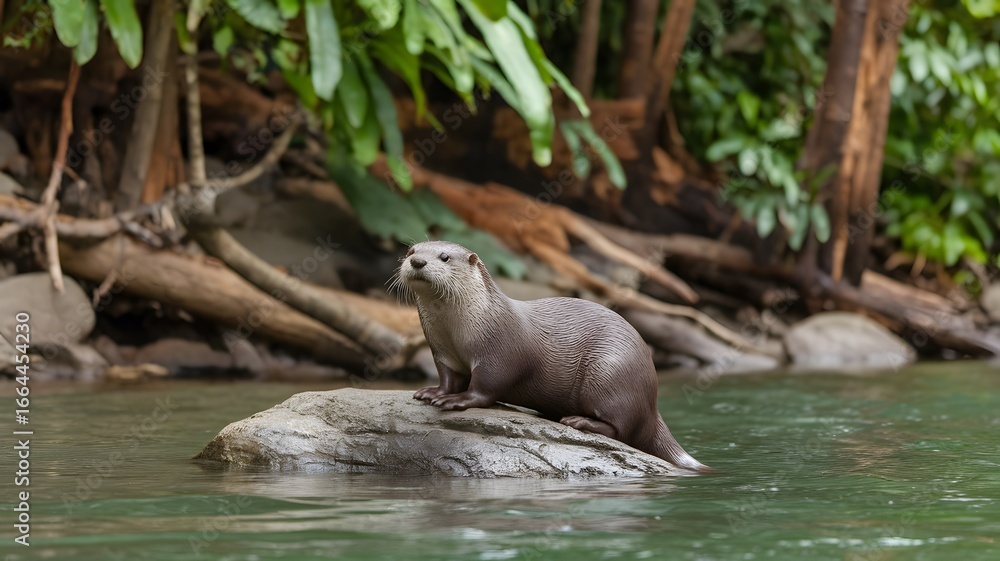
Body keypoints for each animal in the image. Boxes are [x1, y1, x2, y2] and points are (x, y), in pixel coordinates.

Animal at [396, 241, 710, 472]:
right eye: (411, 251)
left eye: (445, 257)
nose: (418, 262)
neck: (464, 330)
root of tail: (652, 403)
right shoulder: (442, 352)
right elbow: (448, 377)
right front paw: (432, 392)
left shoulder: (499, 353)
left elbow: (484, 388)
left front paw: (456, 401)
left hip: (610, 372)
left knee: (622, 429)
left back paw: (578, 422)